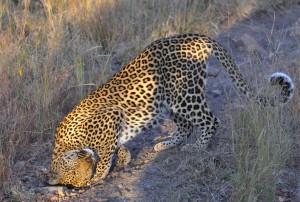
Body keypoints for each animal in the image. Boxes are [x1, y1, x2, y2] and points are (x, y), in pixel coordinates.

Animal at [48, 33, 294, 188]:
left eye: (77, 171)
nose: (89, 158)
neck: (67, 143)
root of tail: (196, 37)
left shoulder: (111, 116)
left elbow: (108, 151)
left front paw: (100, 175)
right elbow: (118, 146)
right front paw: (124, 158)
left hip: (183, 94)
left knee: (210, 120)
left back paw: (197, 148)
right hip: (168, 101)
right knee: (186, 127)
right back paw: (165, 144)